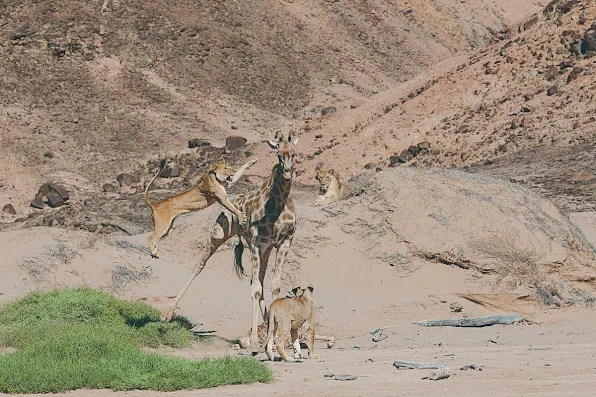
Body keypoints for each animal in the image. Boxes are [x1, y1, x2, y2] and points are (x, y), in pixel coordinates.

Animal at [161, 131, 298, 346]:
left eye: (294, 153)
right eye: (277, 154)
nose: (287, 172)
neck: (278, 205)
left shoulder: (284, 241)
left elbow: (274, 285)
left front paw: (276, 337)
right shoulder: (257, 243)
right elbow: (256, 289)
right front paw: (253, 339)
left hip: (265, 249)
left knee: (257, 280)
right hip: (220, 232)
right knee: (200, 265)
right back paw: (166, 314)